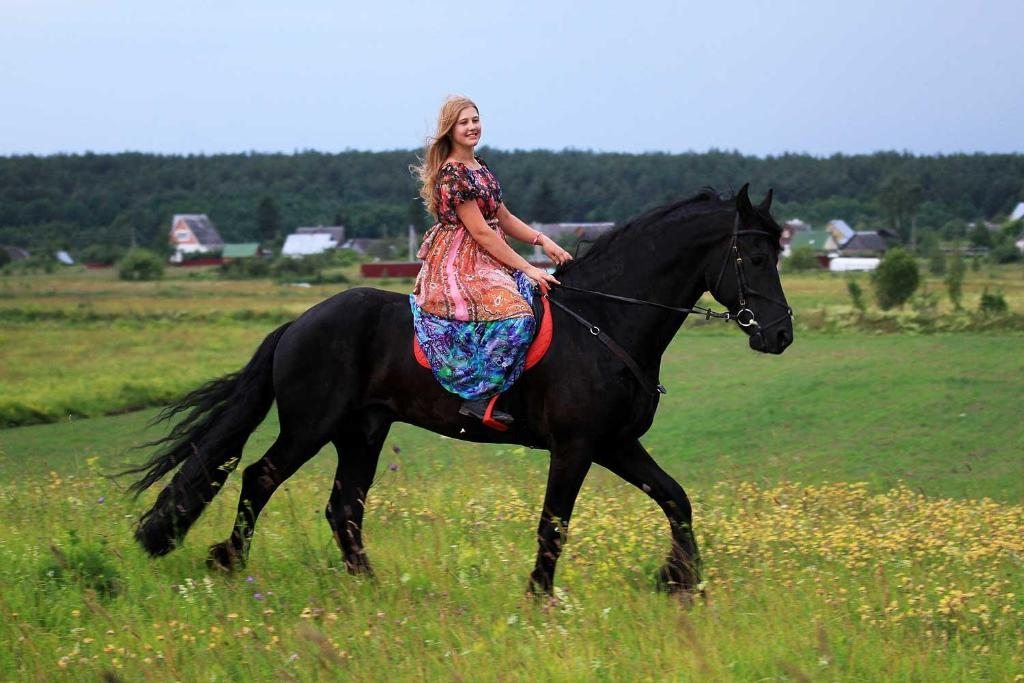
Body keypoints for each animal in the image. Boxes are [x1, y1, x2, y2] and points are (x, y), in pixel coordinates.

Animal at [125, 184, 790, 593]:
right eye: (756, 258)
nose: (780, 334)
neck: (606, 320)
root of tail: (298, 324)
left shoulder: (615, 444)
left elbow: (676, 499)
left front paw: (681, 581)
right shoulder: (577, 448)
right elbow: (554, 523)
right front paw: (540, 598)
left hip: (362, 431)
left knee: (344, 506)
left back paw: (370, 586)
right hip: (312, 425)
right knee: (259, 477)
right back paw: (229, 562)